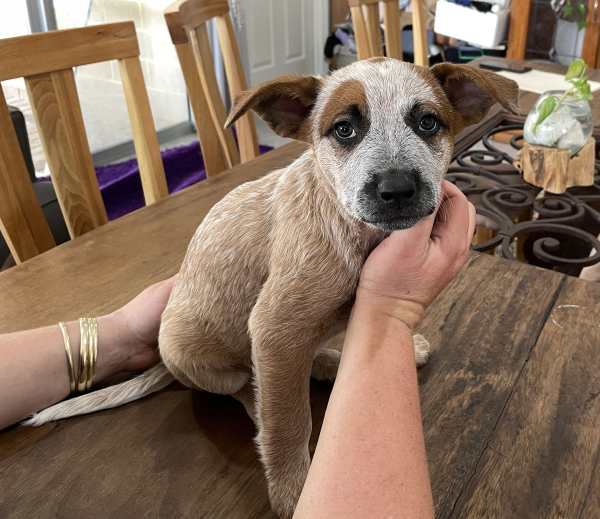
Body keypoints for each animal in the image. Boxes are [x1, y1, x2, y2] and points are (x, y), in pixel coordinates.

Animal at [25, 59, 516, 516]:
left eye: (428, 122)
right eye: (344, 129)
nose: (397, 189)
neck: (354, 233)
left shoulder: (290, 331)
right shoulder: (275, 326)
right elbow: (288, 422)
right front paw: (292, 492)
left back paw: (331, 361)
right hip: (196, 354)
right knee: (243, 383)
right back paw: (261, 399)